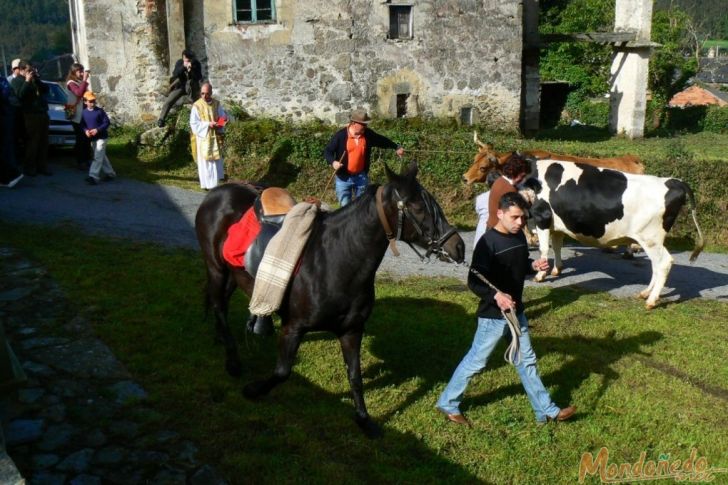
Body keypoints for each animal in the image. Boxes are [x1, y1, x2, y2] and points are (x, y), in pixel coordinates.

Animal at [195, 162, 466, 434]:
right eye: (418, 207)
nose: (459, 247)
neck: (334, 260)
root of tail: (218, 192)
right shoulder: (293, 328)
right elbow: (282, 372)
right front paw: (252, 390)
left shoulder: (351, 331)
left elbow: (355, 377)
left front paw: (363, 419)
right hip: (216, 268)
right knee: (219, 305)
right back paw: (232, 361)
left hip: (233, 273)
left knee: (222, 303)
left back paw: (222, 338)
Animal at [528, 161, 704, 308]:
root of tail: (673, 181)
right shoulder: (557, 225)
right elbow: (557, 246)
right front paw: (557, 269)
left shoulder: (542, 217)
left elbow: (544, 249)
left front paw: (540, 275)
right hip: (653, 241)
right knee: (656, 265)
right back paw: (645, 293)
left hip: (649, 237)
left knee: (663, 263)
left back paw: (651, 300)